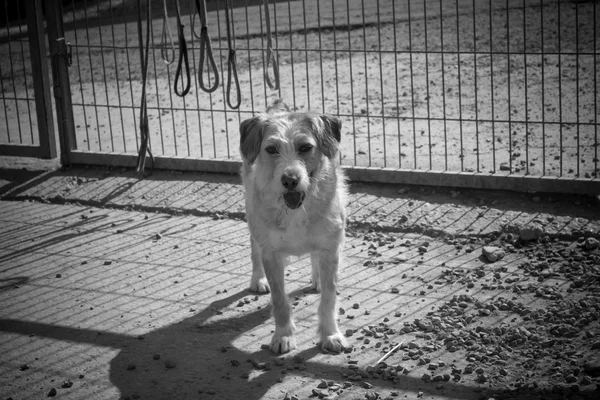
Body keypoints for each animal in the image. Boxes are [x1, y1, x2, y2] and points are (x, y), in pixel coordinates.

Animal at [239, 100, 350, 354]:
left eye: (305, 147)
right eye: (271, 149)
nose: (290, 180)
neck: (296, 210)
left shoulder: (332, 247)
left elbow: (329, 297)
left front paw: (331, 334)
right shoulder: (271, 253)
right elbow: (280, 299)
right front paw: (283, 336)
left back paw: (316, 279)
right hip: (253, 219)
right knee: (253, 249)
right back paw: (257, 280)